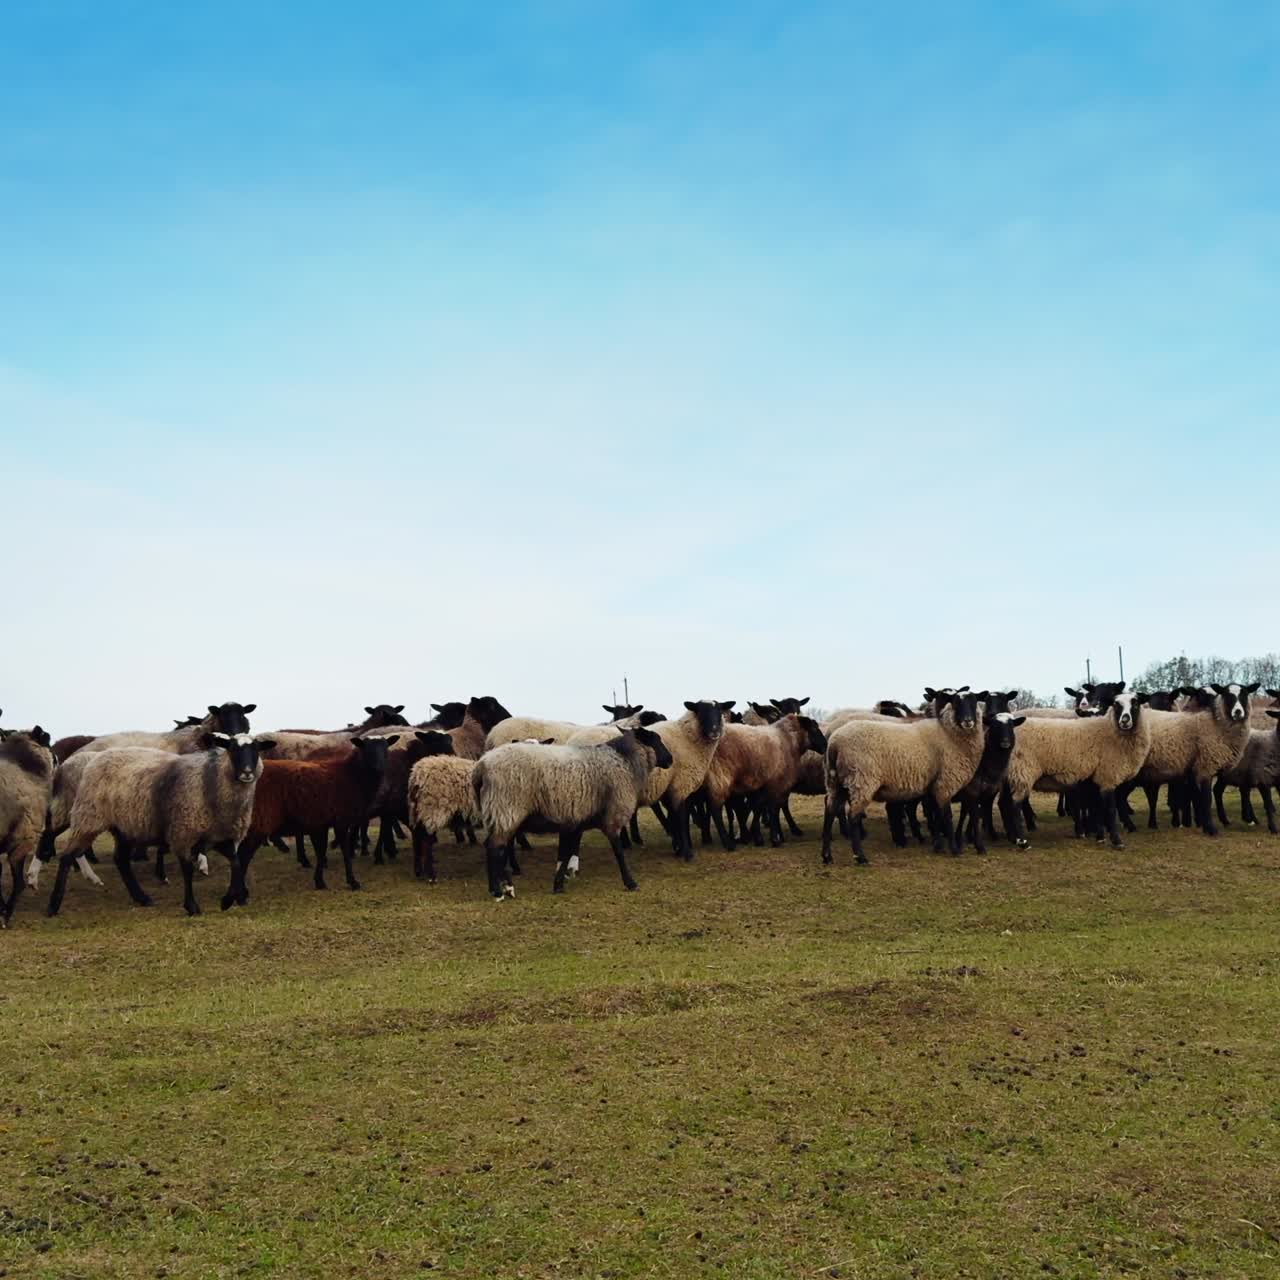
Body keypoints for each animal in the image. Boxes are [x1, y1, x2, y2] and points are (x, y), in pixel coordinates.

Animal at [38, 732, 274, 916]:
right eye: (233, 748)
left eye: (256, 749)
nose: (247, 772)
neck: (210, 781)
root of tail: (93, 759)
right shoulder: (183, 832)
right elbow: (187, 869)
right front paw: (192, 906)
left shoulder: (221, 836)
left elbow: (236, 863)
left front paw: (228, 900)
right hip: (88, 818)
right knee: (67, 857)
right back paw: (53, 905)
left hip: (124, 827)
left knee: (121, 860)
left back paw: (142, 897)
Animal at [229, 734, 400, 905]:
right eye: (367, 748)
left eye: (386, 747)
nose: (380, 767)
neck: (351, 776)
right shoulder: (341, 820)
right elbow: (344, 851)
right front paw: (352, 882)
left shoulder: (321, 822)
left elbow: (321, 851)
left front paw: (320, 881)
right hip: (259, 821)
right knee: (243, 856)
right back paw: (241, 897)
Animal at [473, 728, 674, 897]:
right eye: (656, 740)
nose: (671, 759)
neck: (625, 761)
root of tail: (482, 765)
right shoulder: (612, 816)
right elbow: (618, 852)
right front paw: (630, 882)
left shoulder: (575, 821)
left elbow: (566, 854)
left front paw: (558, 884)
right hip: (506, 809)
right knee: (495, 848)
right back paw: (498, 890)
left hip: (501, 813)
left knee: (494, 846)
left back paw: (500, 887)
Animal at [822, 690, 988, 865]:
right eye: (956, 702)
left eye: (974, 701)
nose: (968, 721)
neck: (949, 734)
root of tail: (834, 743)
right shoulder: (946, 782)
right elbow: (946, 817)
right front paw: (954, 849)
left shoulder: (934, 785)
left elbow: (936, 815)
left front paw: (938, 845)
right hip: (862, 780)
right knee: (853, 817)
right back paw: (860, 857)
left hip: (836, 781)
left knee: (830, 812)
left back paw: (827, 856)